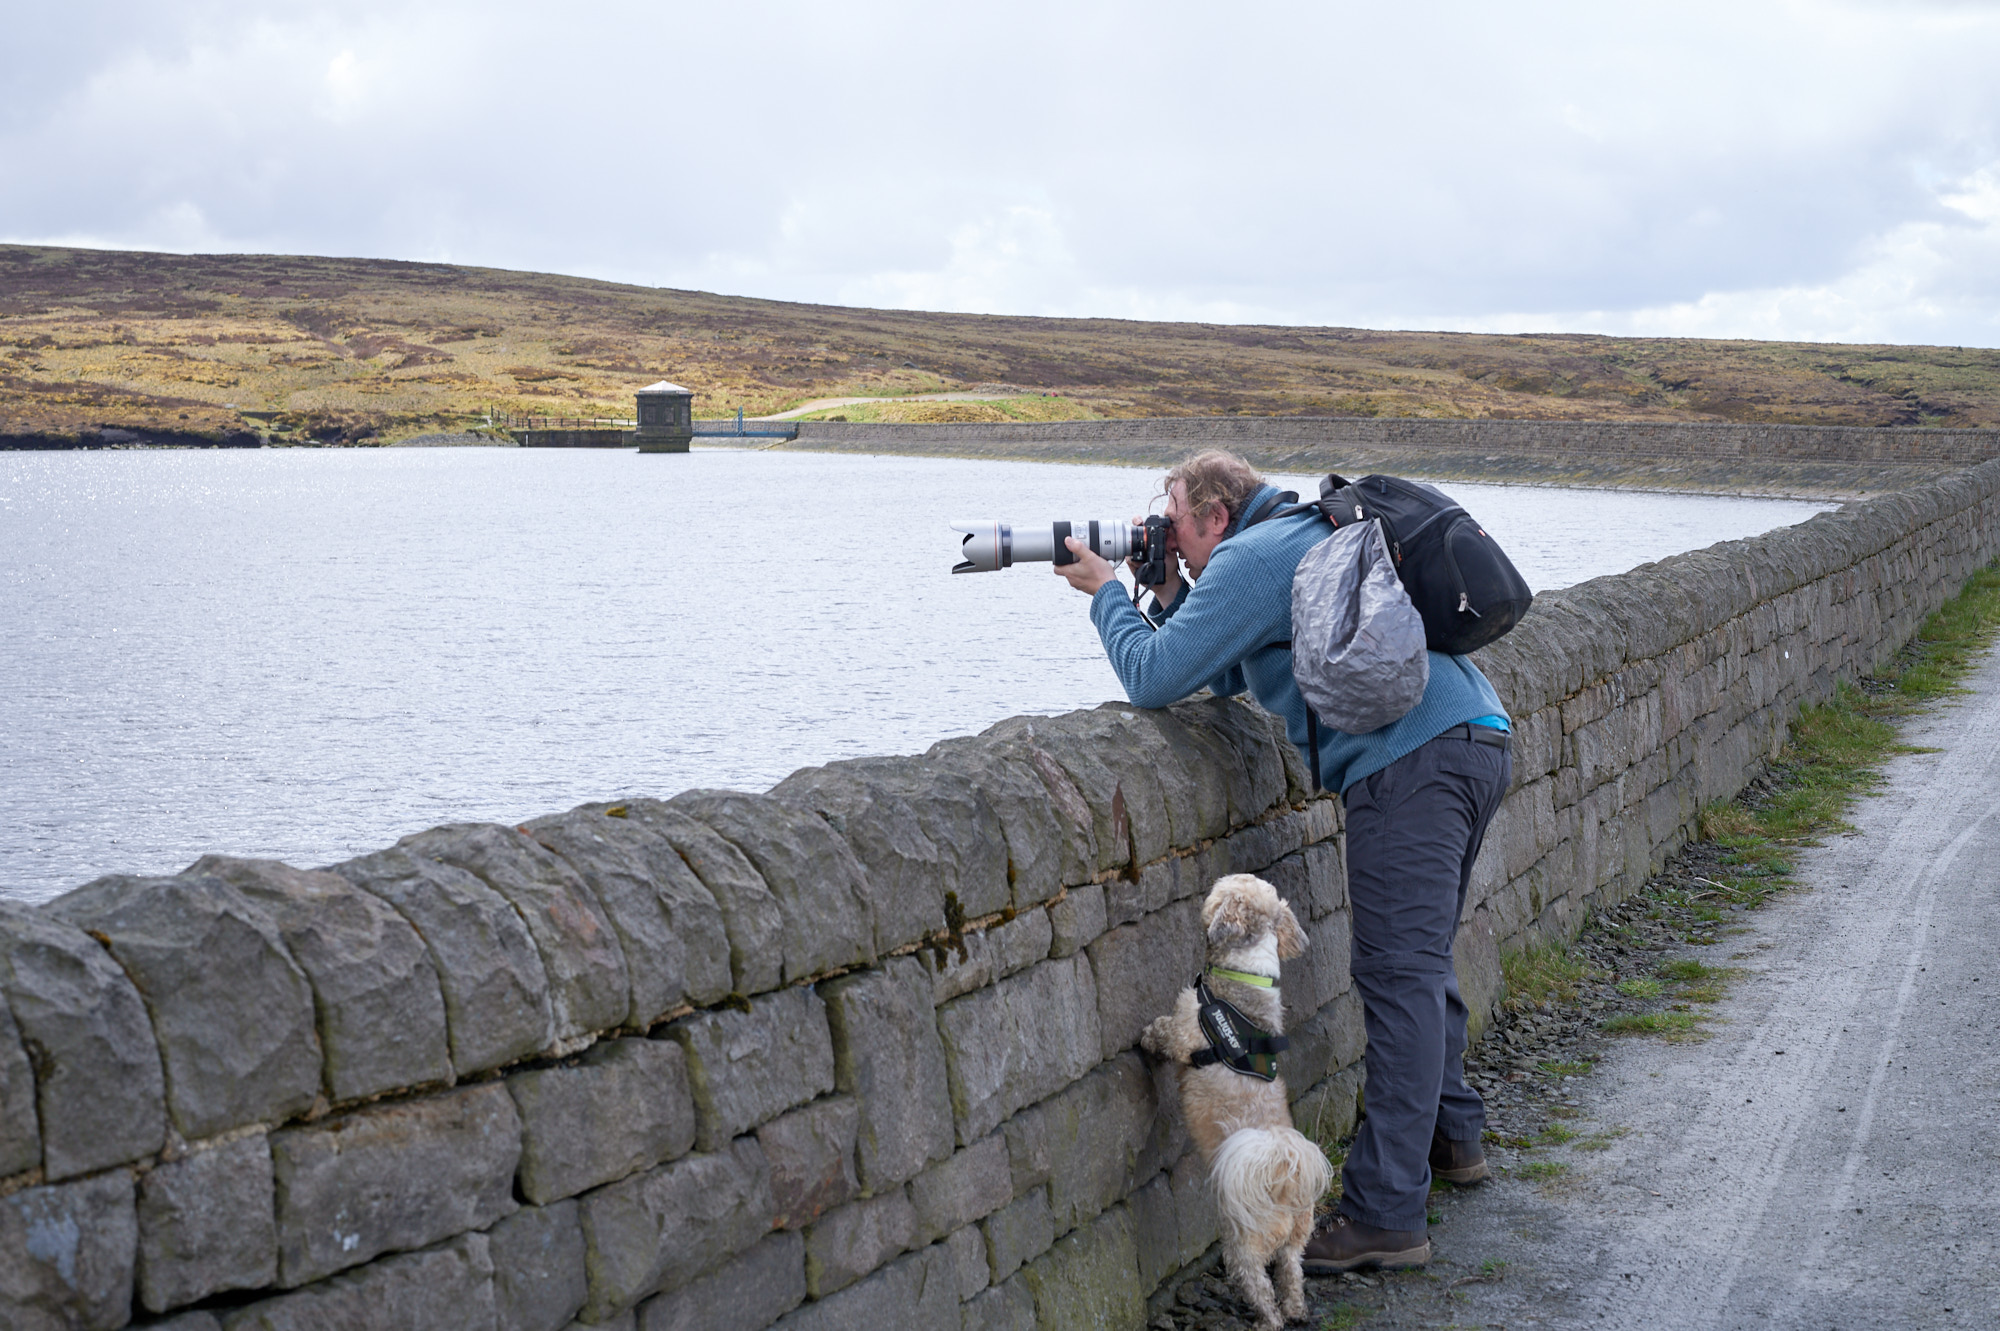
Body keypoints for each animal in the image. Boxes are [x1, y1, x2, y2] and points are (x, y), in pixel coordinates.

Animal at [1144, 871, 1328, 1327]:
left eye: (1221, 888)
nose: (1213, 880)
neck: (1246, 979)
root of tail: (1283, 1177)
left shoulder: (1187, 1029)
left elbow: (1167, 1033)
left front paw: (1147, 1037)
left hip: (1243, 1245)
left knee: (1258, 1285)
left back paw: (1267, 1319)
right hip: (1295, 1240)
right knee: (1291, 1272)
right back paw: (1296, 1309)